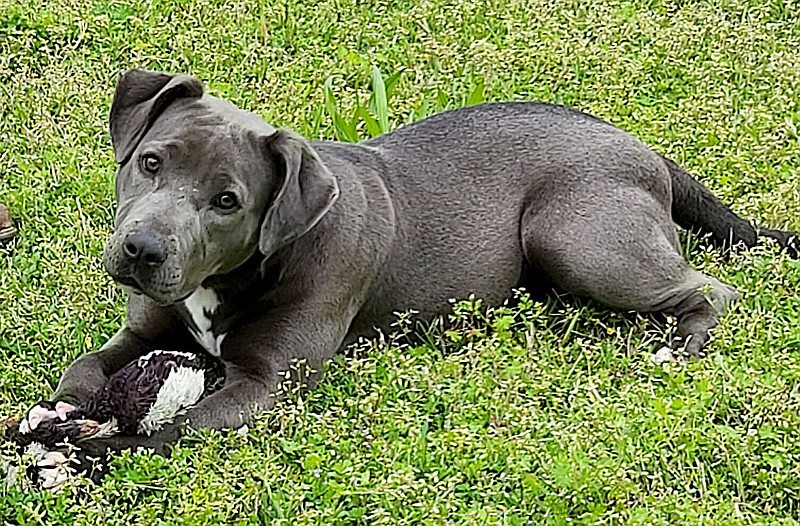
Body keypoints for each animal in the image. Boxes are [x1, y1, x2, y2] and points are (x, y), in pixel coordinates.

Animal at [21, 70, 796, 482]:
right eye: (150, 161)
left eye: (227, 201)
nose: (142, 249)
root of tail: (644, 149)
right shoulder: (144, 328)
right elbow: (85, 369)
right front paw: (56, 414)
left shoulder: (263, 385)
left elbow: (168, 431)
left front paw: (83, 450)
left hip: (578, 238)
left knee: (713, 288)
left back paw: (681, 344)